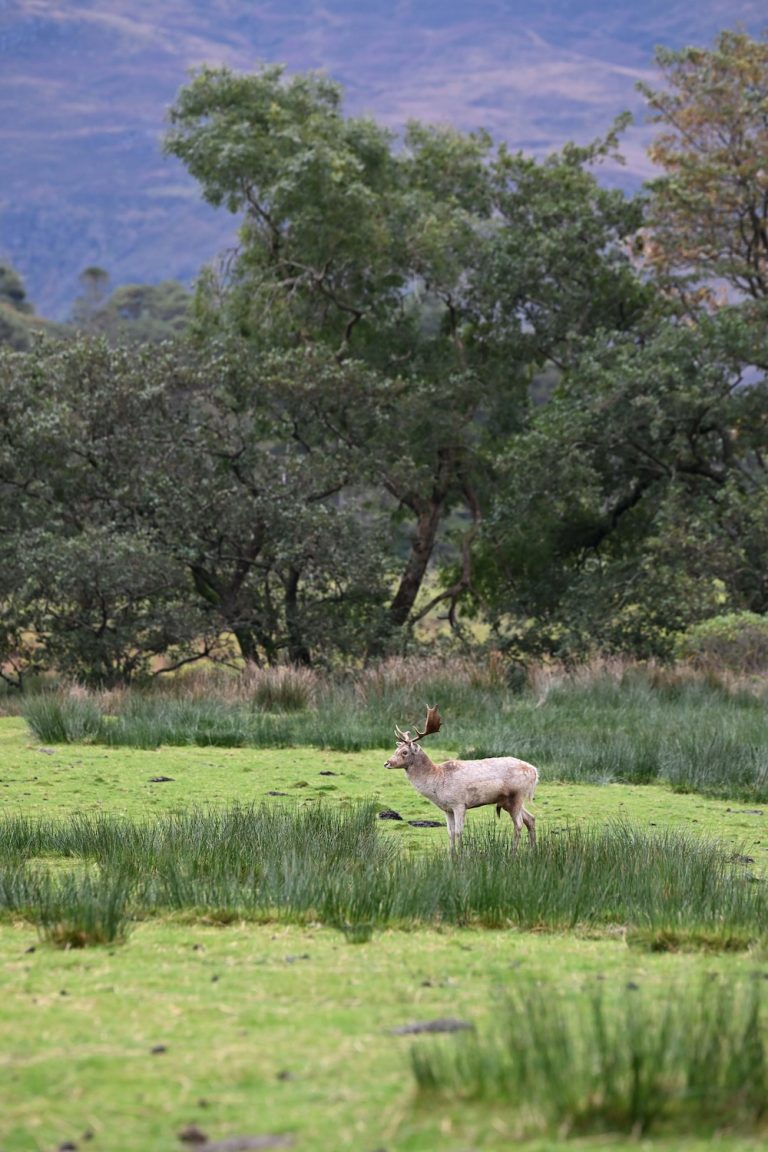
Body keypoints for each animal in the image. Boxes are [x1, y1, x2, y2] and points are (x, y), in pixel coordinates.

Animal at [384, 706, 537, 851]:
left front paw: (462, 856)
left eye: (404, 752)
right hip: (507, 801)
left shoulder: (459, 803)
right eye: (395, 750)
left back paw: (513, 852)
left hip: (517, 795)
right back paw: (532, 851)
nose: (387, 763)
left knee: (519, 823)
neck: (437, 781)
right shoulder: (447, 808)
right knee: (530, 818)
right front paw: (451, 855)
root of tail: (535, 772)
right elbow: (450, 832)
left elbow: (459, 832)